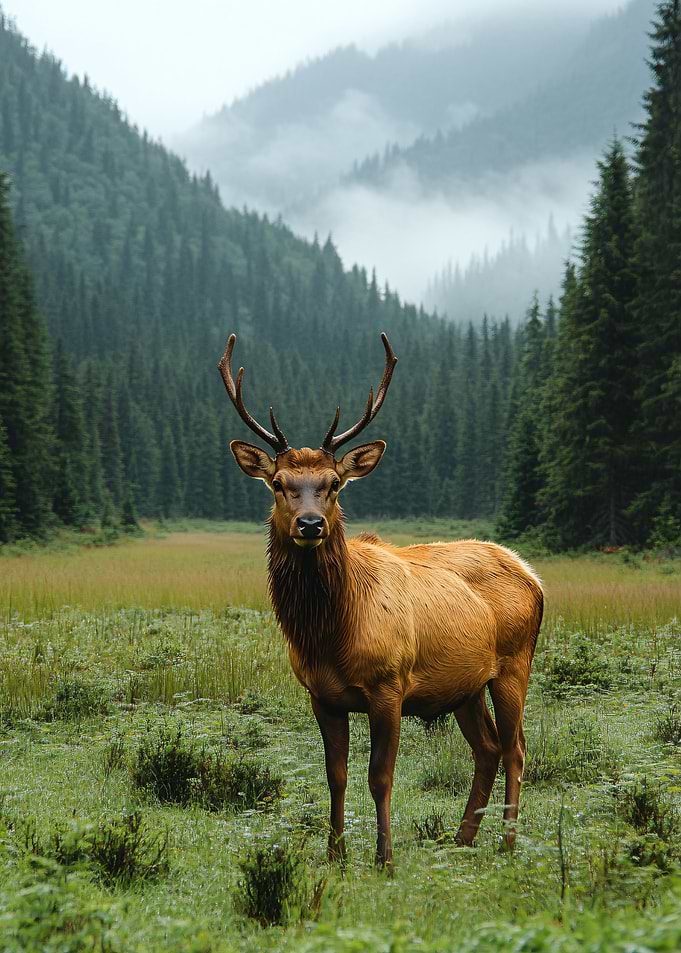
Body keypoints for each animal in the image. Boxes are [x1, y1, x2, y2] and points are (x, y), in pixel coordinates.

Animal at [219, 331, 543, 869]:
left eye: (333, 484)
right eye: (280, 484)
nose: (311, 524)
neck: (331, 635)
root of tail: (532, 575)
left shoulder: (390, 685)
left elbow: (380, 776)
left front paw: (384, 857)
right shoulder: (321, 695)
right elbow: (336, 775)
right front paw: (335, 853)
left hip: (515, 662)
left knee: (516, 747)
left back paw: (508, 842)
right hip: (466, 686)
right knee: (489, 748)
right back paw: (462, 838)